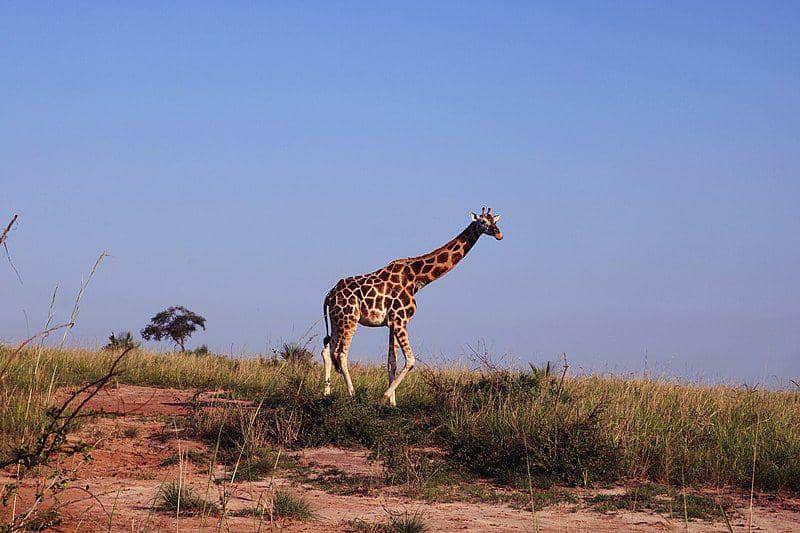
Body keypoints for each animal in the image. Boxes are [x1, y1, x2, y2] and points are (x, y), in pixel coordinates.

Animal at [320, 207, 503, 406]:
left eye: (495, 221)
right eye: (483, 222)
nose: (499, 234)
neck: (417, 277)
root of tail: (330, 294)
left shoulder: (392, 322)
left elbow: (392, 362)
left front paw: (392, 404)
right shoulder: (400, 319)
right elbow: (410, 360)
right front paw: (384, 397)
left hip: (336, 319)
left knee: (327, 350)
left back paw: (326, 395)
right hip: (350, 318)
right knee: (341, 354)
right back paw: (352, 395)